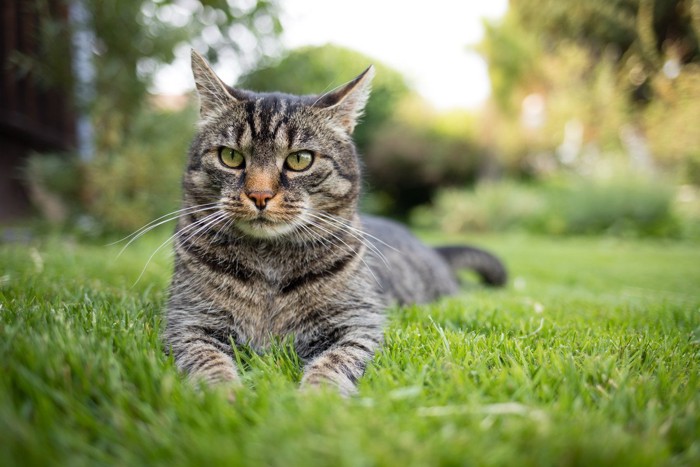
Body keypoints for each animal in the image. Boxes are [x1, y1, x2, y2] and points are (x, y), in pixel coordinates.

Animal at [162, 49, 506, 396]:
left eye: (300, 159)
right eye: (231, 157)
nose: (259, 195)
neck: (269, 265)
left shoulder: (357, 323)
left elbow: (334, 361)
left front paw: (318, 398)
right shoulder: (187, 321)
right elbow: (207, 360)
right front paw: (223, 394)